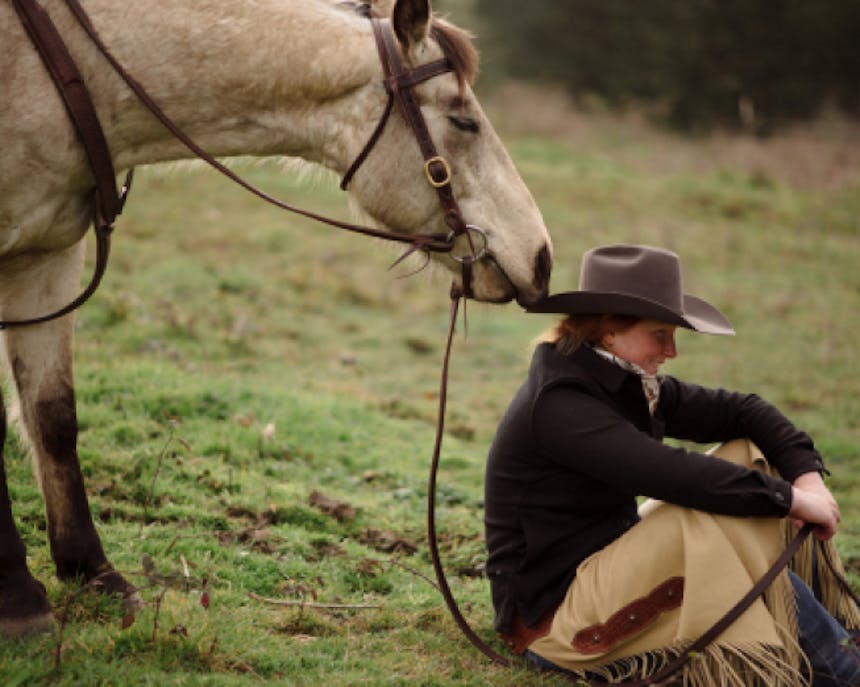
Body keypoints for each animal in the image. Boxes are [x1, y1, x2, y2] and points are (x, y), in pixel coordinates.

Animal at [0, 0, 552, 636]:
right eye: (464, 122)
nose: (541, 256)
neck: (75, 68)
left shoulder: (47, 259)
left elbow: (53, 418)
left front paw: (93, 573)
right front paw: (18, 597)